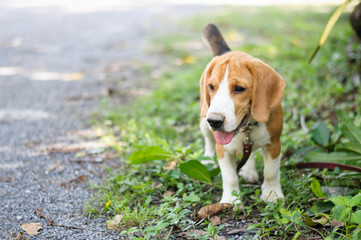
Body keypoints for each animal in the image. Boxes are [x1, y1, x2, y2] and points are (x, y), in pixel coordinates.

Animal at [200, 23, 284, 204]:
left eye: (239, 88)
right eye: (211, 87)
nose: (215, 121)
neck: (248, 126)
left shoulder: (274, 143)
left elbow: (271, 172)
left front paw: (272, 194)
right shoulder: (222, 149)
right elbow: (229, 177)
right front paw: (231, 200)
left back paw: (248, 169)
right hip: (203, 119)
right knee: (208, 139)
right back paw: (208, 159)